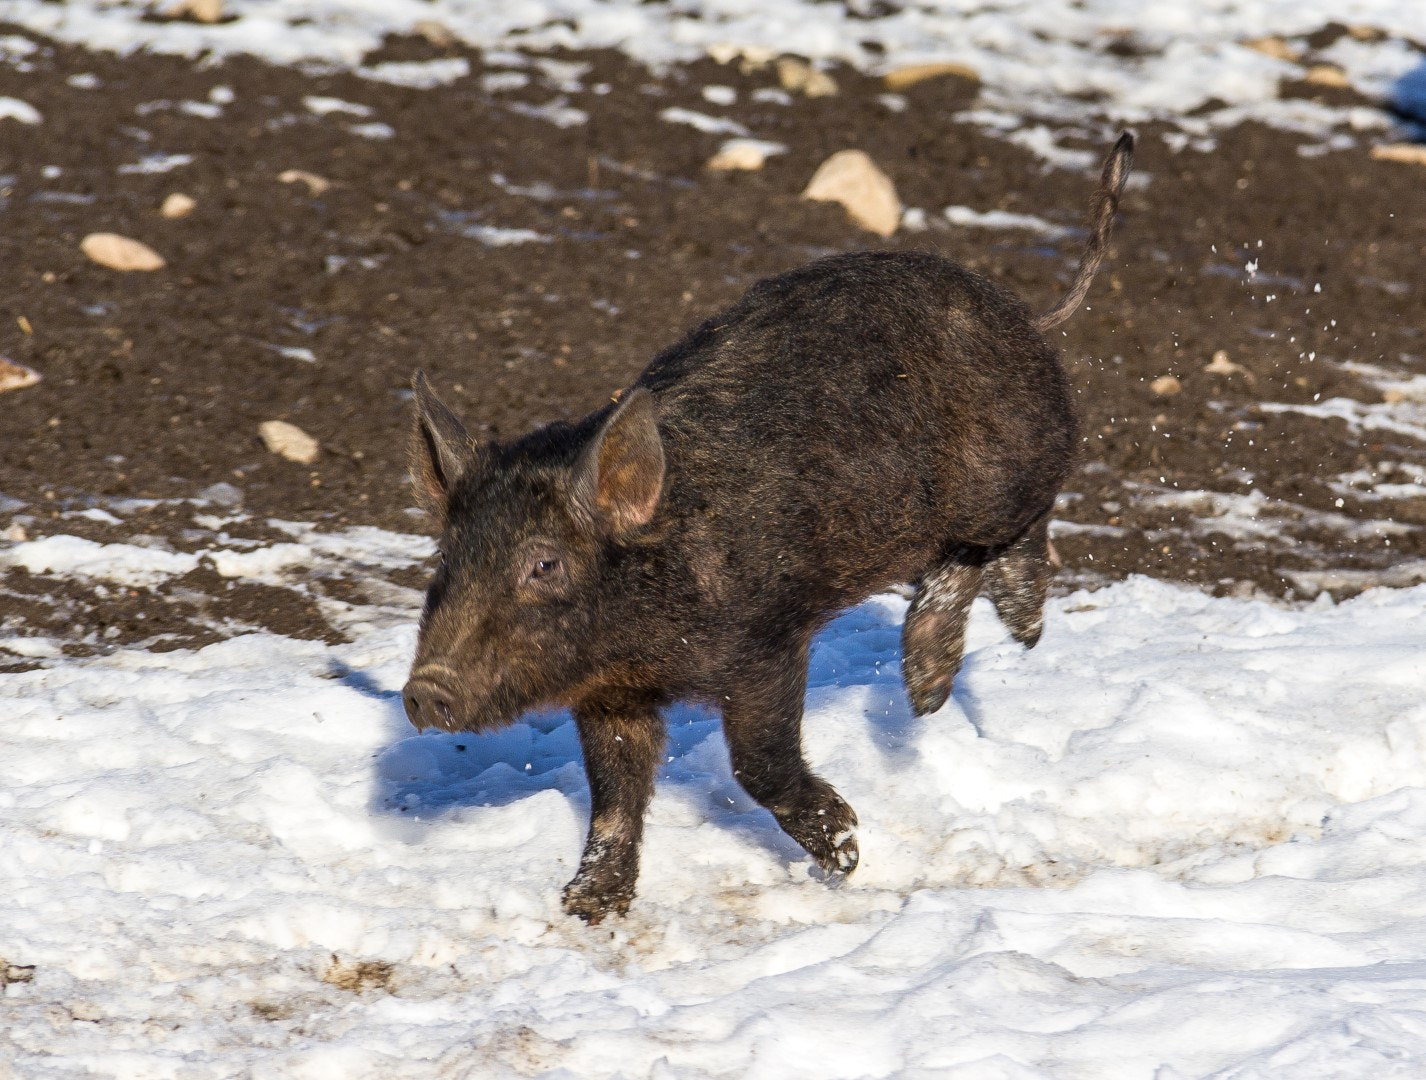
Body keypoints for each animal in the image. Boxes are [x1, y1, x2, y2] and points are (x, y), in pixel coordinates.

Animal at [403, 133, 1134, 922]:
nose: (423, 692)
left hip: (1003, 477)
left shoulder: (768, 641)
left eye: (544, 564)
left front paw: (847, 853)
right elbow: (615, 789)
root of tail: (1025, 319)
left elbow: (757, 760)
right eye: (446, 559)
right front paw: (585, 906)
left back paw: (960, 671)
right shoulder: (611, 692)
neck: (647, 628)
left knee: (1021, 517)